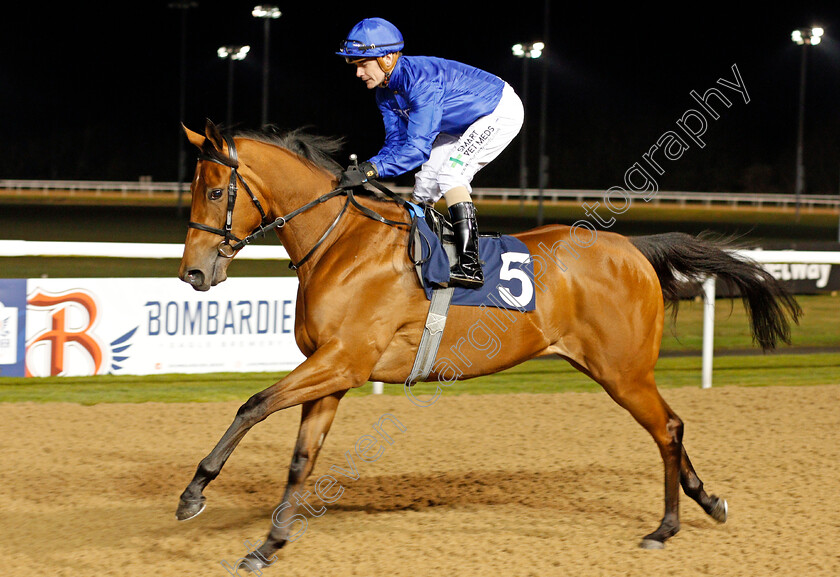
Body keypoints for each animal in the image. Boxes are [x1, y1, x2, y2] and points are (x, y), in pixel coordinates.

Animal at [176, 119, 800, 564]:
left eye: (215, 191)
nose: (193, 273)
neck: (343, 243)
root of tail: (634, 249)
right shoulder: (332, 373)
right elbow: (302, 458)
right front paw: (270, 543)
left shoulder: (343, 361)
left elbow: (252, 405)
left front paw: (194, 493)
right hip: (613, 370)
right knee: (670, 429)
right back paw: (707, 503)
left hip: (623, 371)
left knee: (668, 428)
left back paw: (665, 528)